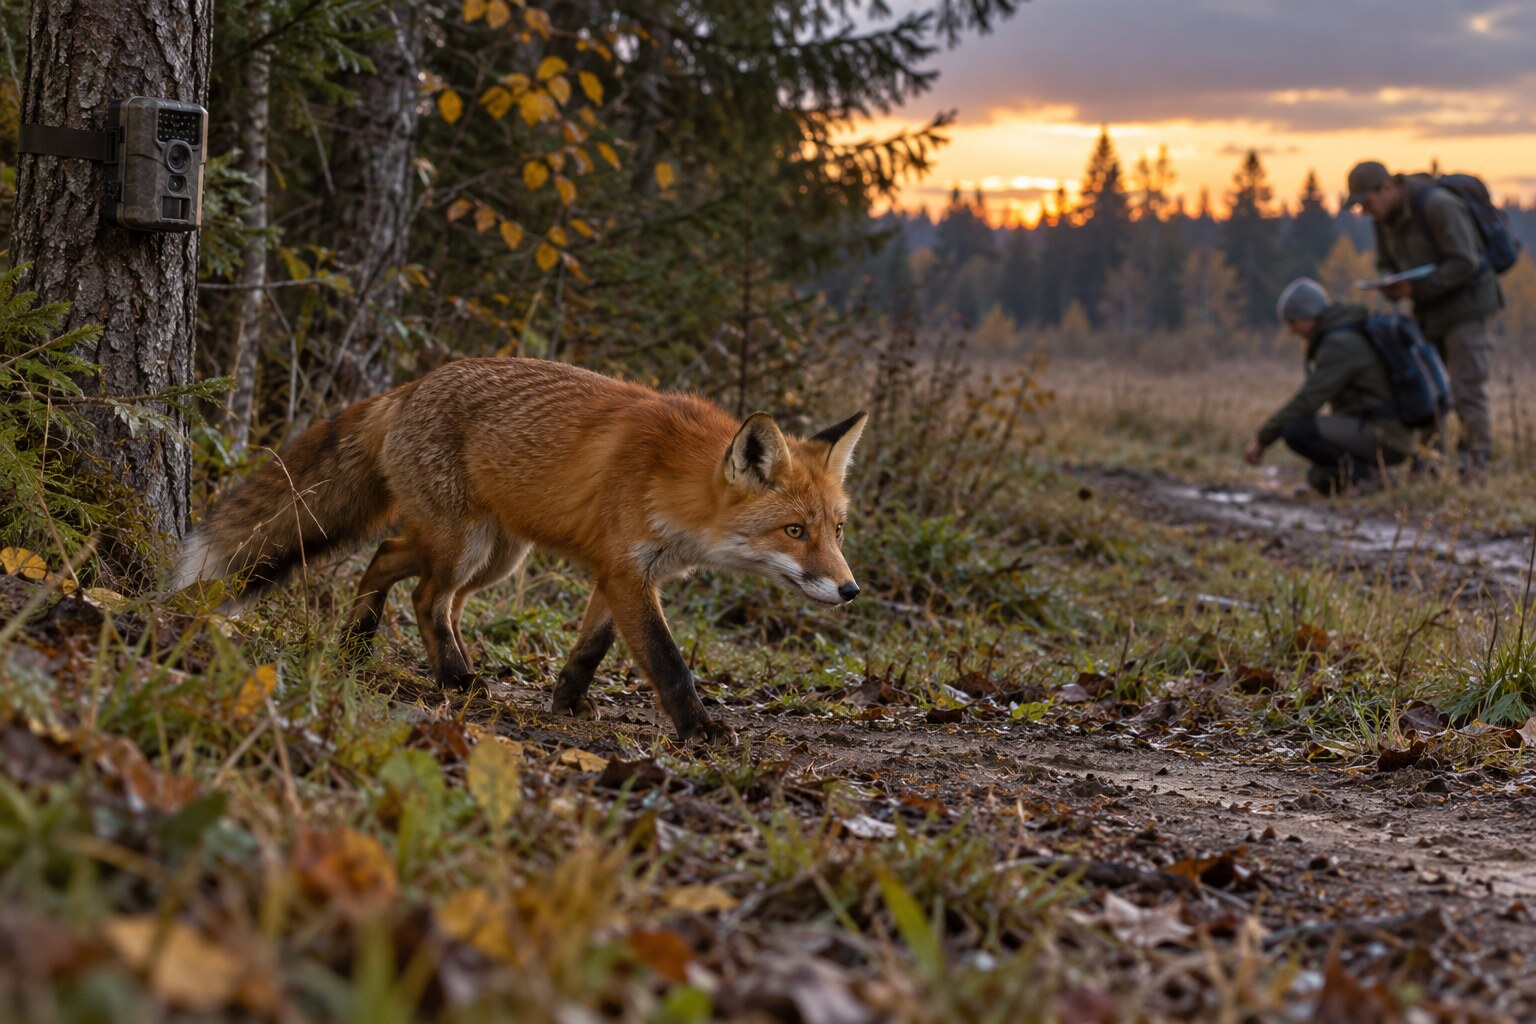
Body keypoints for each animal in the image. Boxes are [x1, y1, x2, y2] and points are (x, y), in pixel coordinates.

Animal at [173, 357, 867, 743]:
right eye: (794, 532)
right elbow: (666, 660)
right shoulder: (628, 571)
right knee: (419, 587)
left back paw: (376, 647)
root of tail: (411, 387)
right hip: (463, 543)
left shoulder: (622, 572)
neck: (672, 480)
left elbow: (591, 647)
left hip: (495, 558)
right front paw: (699, 729)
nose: (850, 589)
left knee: (404, 569)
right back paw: (440, 671)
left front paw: (567, 702)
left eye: (836, 530)